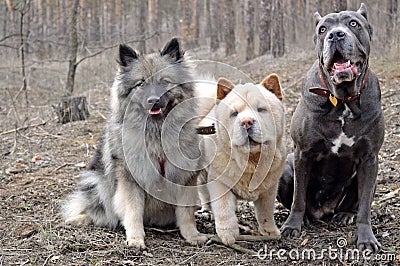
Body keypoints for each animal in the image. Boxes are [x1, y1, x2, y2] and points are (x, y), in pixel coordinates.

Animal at [278, 4, 384, 252]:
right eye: (322, 29)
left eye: (353, 23)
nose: (335, 35)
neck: (343, 100)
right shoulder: (302, 153)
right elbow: (298, 197)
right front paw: (292, 226)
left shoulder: (370, 158)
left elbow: (365, 205)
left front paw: (366, 238)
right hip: (286, 169)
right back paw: (307, 217)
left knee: (358, 203)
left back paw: (345, 214)